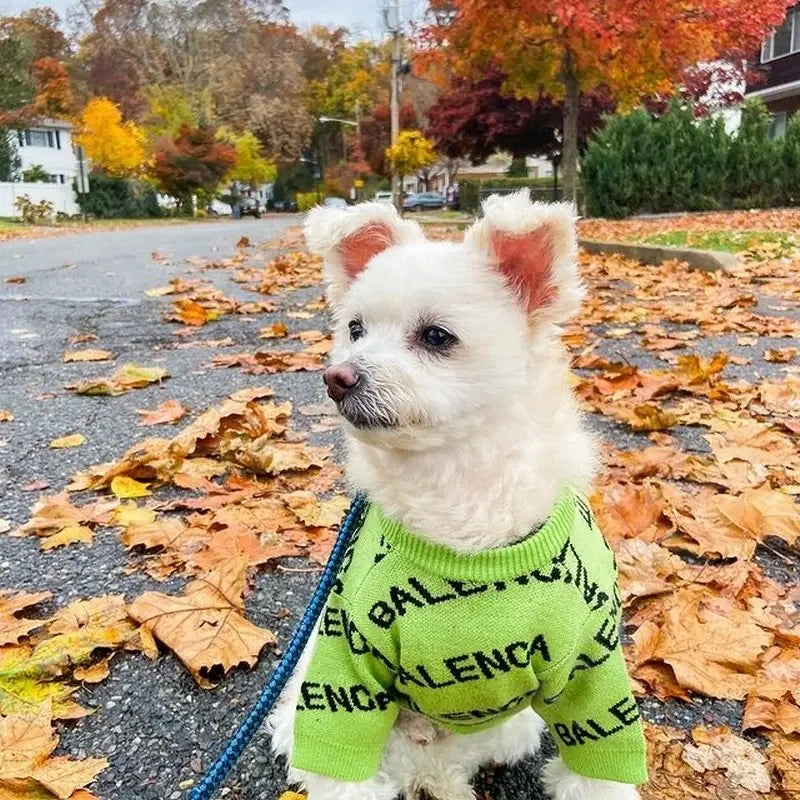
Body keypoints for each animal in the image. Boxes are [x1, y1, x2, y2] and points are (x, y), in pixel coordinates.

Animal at [272, 194, 648, 800]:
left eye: (435, 336)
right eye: (354, 328)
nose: (337, 378)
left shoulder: (591, 661)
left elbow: (599, 753)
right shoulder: (347, 660)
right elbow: (344, 759)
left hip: (511, 727)